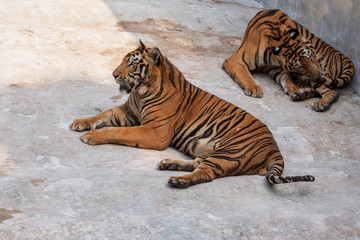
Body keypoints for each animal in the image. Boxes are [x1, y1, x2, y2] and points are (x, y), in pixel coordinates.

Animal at [70, 40, 316, 188]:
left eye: (132, 64)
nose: (113, 75)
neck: (141, 92)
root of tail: (275, 147)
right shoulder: (128, 112)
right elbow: (103, 115)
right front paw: (80, 123)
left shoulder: (155, 132)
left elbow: (117, 132)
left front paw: (91, 136)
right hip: (218, 153)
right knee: (199, 162)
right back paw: (169, 165)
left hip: (230, 153)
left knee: (206, 173)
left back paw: (178, 180)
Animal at [222, 8, 354, 111]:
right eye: (299, 66)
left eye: (311, 55)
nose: (318, 73)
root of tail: (342, 55)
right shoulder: (236, 60)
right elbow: (246, 75)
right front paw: (254, 88)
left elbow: (287, 80)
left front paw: (294, 90)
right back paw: (304, 94)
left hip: (316, 78)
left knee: (332, 92)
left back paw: (320, 103)